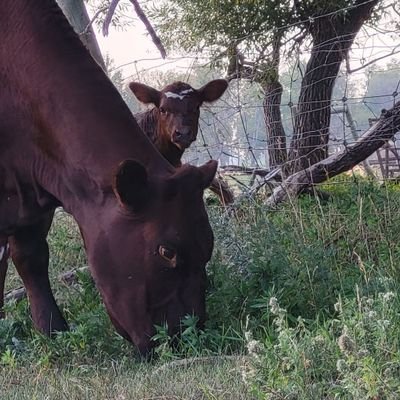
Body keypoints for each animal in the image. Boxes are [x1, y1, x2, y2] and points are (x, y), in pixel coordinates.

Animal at [0, 0, 217, 356]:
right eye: (166, 251)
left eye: (208, 247)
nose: (185, 336)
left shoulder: (30, 194)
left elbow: (32, 258)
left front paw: (53, 332)